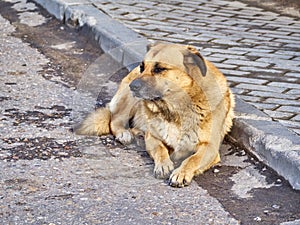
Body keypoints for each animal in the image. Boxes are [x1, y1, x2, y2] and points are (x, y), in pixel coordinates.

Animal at [75, 42, 234, 188]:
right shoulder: (153, 138)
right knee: (115, 120)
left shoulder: (210, 148)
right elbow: (160, 149)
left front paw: (181, 173)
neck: (174, 109)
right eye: (142, 67)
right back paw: (125, 133)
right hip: (130, 101)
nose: (133, 86)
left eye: (159, 69)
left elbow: (192, 159)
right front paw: (163, 165)